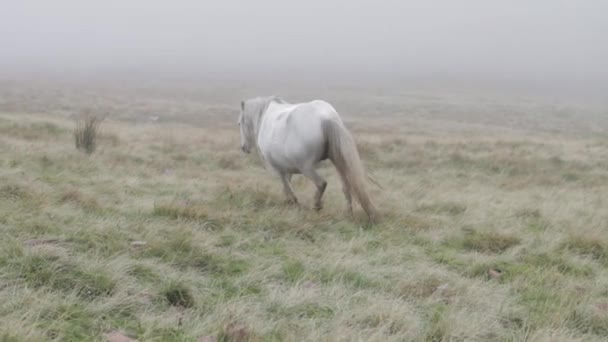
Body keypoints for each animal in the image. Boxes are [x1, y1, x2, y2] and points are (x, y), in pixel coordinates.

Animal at [238, 95, 376, 220]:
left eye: (239, 123)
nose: (244, 147)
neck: (265, 115)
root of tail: (325, 117)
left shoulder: (278, 168)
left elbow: (285, 183)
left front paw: (293, 201)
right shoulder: (287, 167)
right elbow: (287, 183)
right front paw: (288, 202)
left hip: (306, 168)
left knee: (321, 183)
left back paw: (317, 205)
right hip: (338, 162)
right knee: (346, 187)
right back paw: (348, 214)